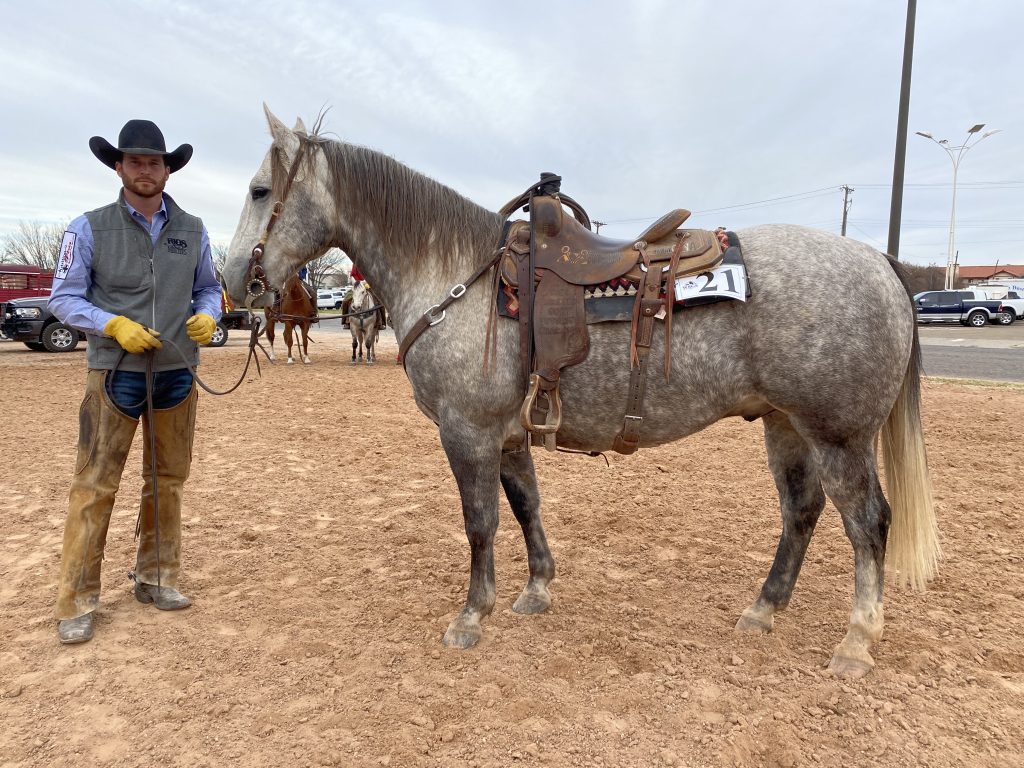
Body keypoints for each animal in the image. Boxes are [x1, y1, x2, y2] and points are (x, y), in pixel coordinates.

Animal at [223, 108, 939, 678]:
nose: (236, 282)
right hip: (785, 425)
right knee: (802, 512)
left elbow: (480, 522)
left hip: (839, 435)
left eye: (261, 190)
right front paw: (536, 590)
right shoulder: (509, 435)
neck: (459, 276)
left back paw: (856, 643)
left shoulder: (466, 431)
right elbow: (525, 507)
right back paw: (763, 609)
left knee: (868, 524)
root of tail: (880, 263)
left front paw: (471, 616)